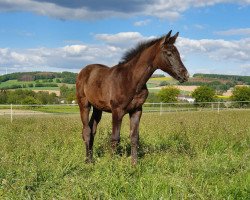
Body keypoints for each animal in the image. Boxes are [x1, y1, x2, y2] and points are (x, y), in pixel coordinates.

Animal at [76, 30, 189, 164]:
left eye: (179, 53)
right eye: (169, 53)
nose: (185, 75)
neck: (131, 80)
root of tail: (84, 70)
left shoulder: (136, 110)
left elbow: (134, 137)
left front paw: (134, 163)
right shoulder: (117, 110)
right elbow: (115, 138)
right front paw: (111, 163)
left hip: (98, 108)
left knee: (92, 128)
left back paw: (91, 158)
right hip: (84, 104)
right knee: (86, 131)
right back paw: (88, 161)